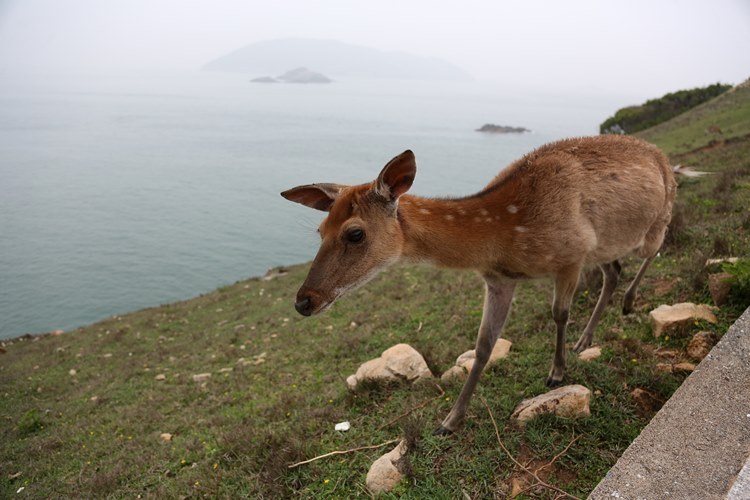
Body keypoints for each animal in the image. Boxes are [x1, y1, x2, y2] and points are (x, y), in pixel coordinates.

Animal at [284, 136, 680, 434]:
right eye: (320, 230)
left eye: (355, 233)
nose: (304, 301)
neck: (504, 234)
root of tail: (664, 157)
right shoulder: (500, 279)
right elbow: (484, 345)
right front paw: (449, 421)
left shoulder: (572, 254)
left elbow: (559, 313)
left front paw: (556, 373)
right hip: (604, 245)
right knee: (614, 270)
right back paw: (587, 338)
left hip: (657, 218)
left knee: (653, 250)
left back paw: (628, 303)